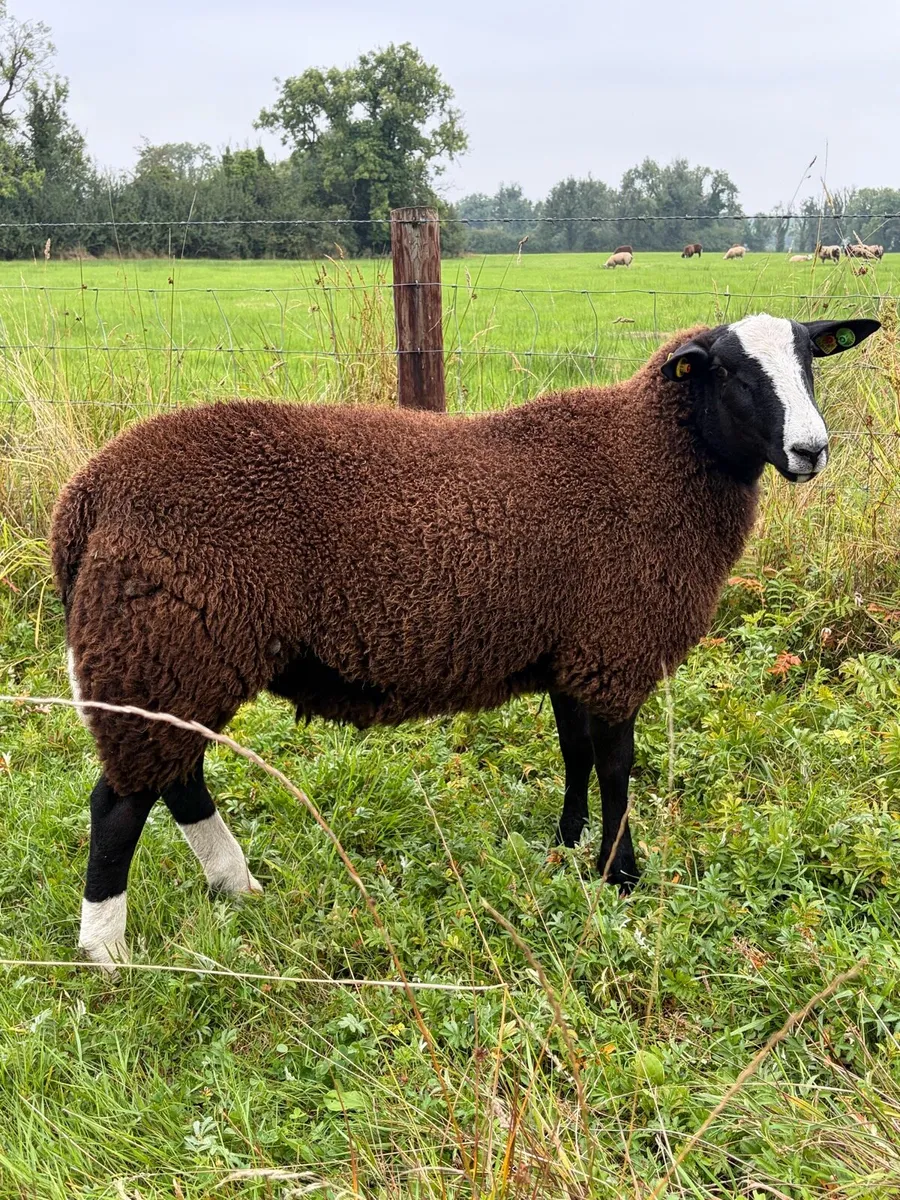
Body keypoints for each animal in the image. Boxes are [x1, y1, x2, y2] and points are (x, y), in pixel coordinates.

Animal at [52, 313, 881, 968]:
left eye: (810, 358)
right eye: (733, 373)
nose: (812, 450)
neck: (647, 463)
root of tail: (84, 500)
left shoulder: (571, 652)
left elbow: (575, 754)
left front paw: (568, 844)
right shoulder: (614, 647)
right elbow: (618, 767)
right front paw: (621, 874)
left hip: (172, 654)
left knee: (177, 778)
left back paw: (236, 885)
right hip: (164, 645)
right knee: (119, 805)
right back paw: (106, 952)